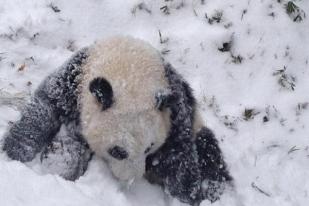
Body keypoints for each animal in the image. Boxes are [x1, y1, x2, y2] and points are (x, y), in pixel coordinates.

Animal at [1, 36, 229, 205]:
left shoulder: (176, 108)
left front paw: (188, 192)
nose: (131, 177)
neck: (131, 71)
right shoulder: (74, 79)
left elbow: (179, 152)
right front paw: (16, 149)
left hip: (199, 128)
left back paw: (212, 189)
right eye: (118, 152)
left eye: (149, 148)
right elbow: (46, 104)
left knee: (209, 151)